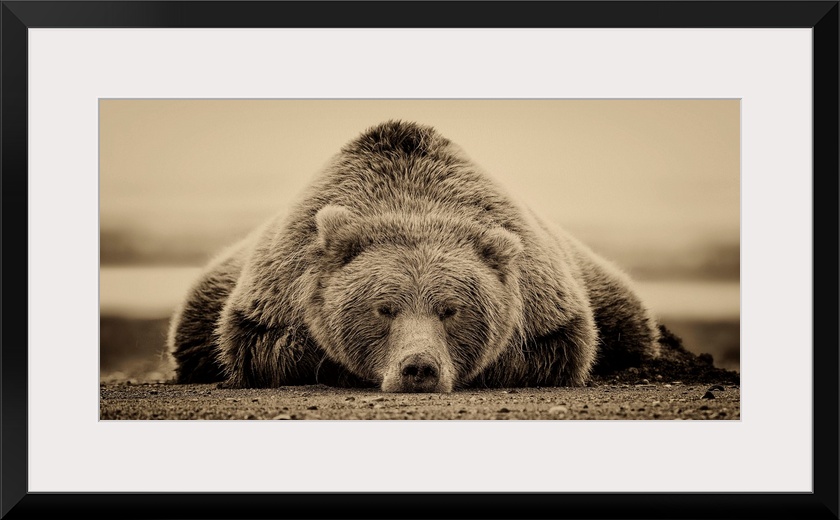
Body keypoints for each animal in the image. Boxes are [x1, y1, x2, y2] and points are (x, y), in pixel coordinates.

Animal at [167, 121, 660, 390]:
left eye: (451, 309)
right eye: (384, 308)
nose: (418, 368)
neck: (412, 201)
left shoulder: (546, 301)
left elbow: (558, 347)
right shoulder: (275, 292)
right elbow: (262, 346)